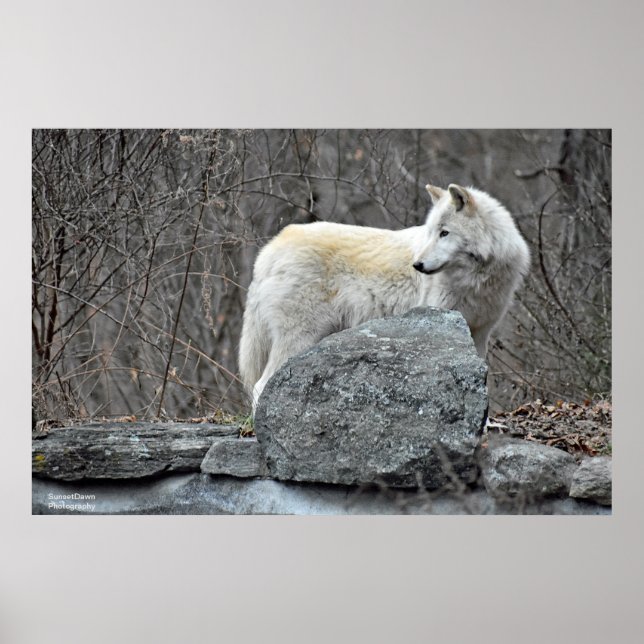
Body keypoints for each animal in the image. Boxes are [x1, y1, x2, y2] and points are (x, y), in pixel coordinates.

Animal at [239, 183, 530, 408]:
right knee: (260, 386)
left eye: (444, 233)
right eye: (431, 233)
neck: (476, 279)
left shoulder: (480, 333)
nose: (418, 265)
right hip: (300, 338)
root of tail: (270, 249)